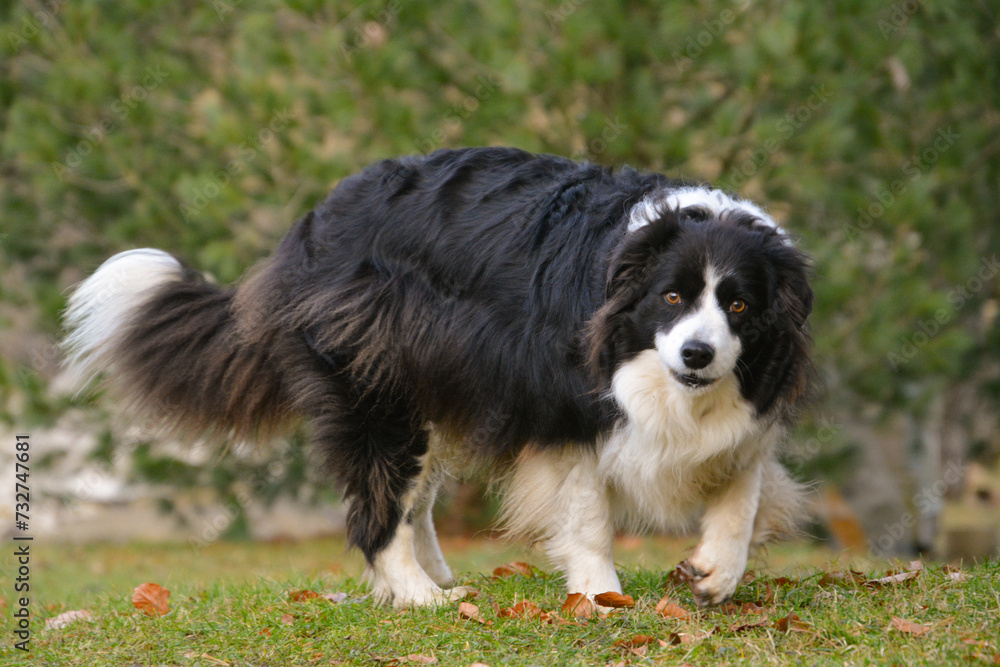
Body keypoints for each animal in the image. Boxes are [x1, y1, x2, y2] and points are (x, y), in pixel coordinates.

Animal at [64, 149, 812, 608]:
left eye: (739, 305)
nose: (697, 355)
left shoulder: (751, 384)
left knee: (415, 489)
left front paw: (713, 572)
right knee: (382, 489)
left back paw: (439, 578)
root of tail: (308, 230)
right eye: (672, 297)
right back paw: (417, 595)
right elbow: (587, 506)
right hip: (373, 359)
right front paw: (603, 597)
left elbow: (743, 480)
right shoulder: (564, 391)